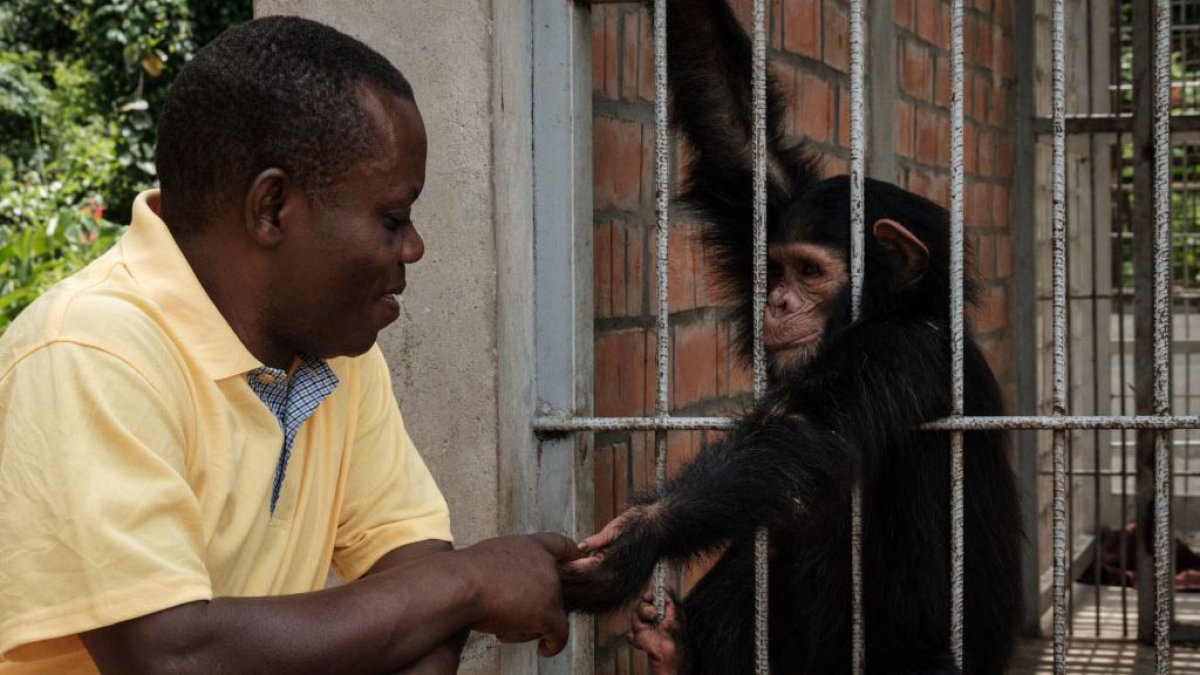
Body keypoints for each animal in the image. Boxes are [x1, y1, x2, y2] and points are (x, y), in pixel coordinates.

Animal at [561, 1, 1022, 672]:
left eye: (810, 272)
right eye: (776, 269)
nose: (777, 301)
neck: (899, 309)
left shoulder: (896, 351)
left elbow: (798, 432)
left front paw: (637, 537)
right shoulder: (773, 205)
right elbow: (739, 138)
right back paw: (677, 650)